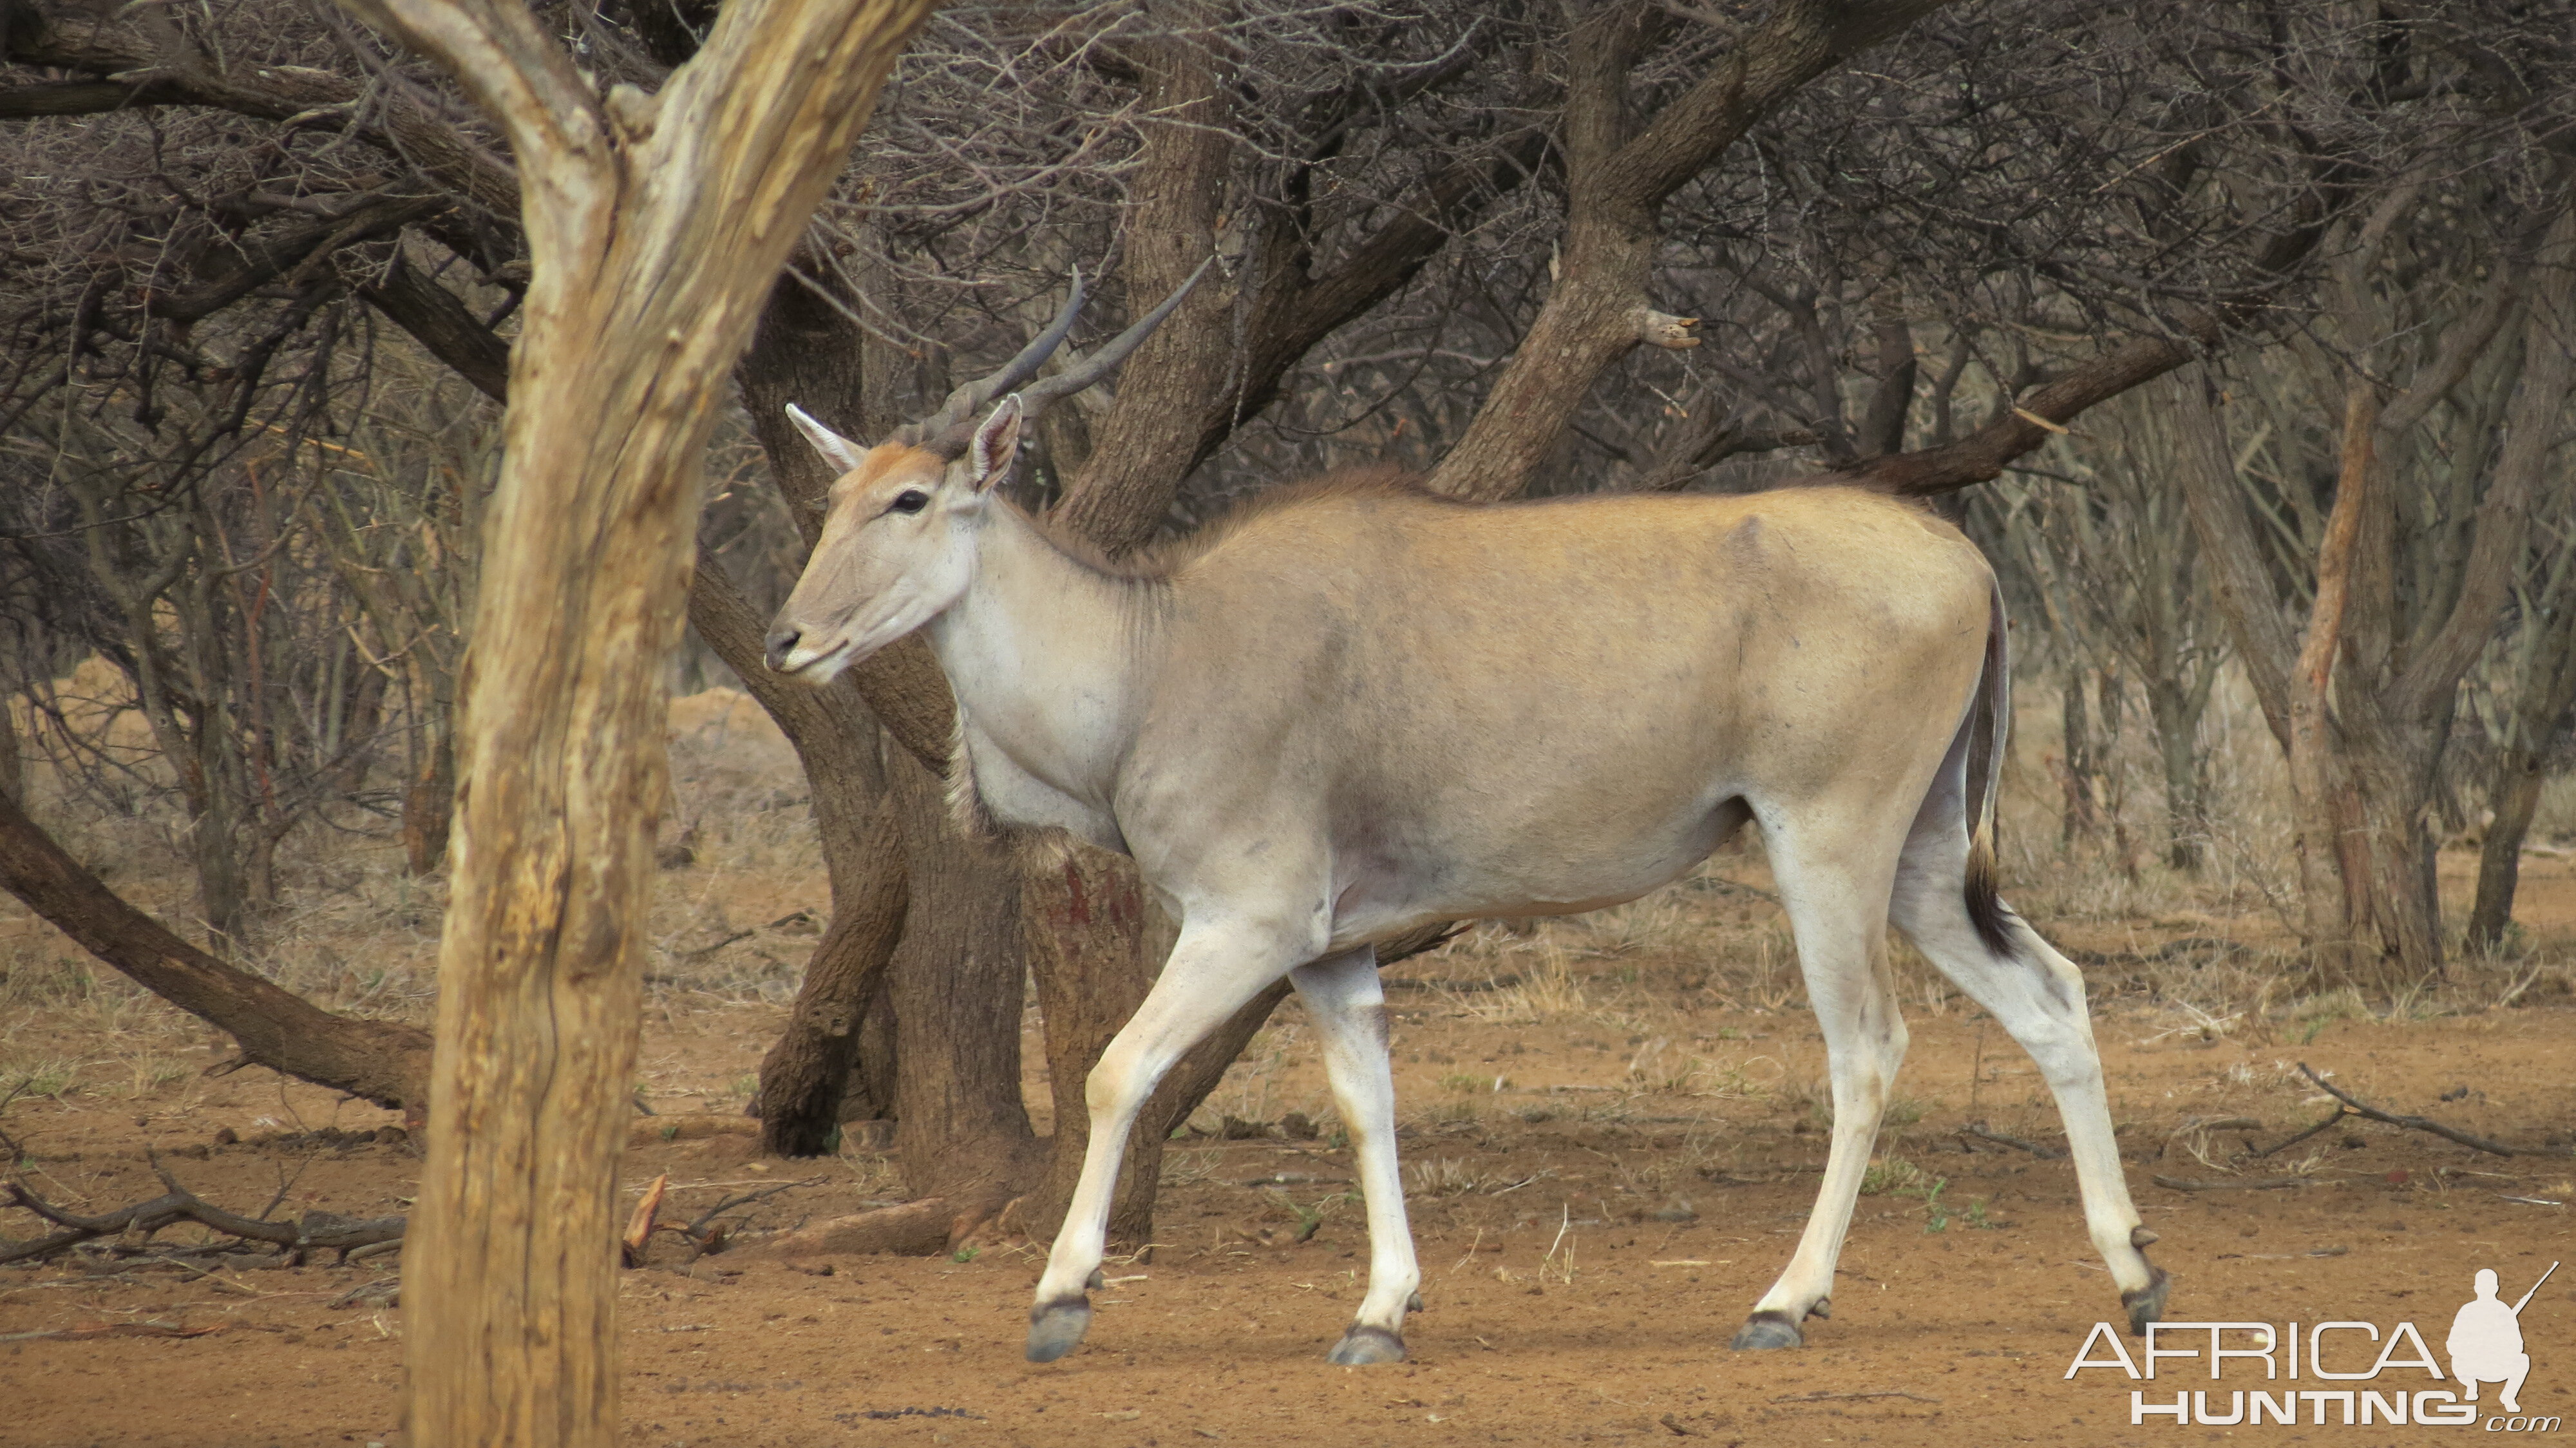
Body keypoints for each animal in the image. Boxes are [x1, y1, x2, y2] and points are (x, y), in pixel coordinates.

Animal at [762, 280, 2174, 1360]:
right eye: (832, 503)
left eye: (908, 502)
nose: (787, 639)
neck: (1157, 651)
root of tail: (1968, 561)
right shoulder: (1330, 950)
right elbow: (1366, 1102)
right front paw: (1379, 1310)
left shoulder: (1246, 921)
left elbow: (1117, 1070)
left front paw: (1060, 1295)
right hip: (1923, 859)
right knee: (2052, 994)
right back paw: (2134, 1275)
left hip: (1827, 843)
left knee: (1868, 1044)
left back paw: (1784, 1300)